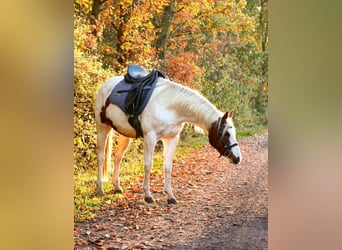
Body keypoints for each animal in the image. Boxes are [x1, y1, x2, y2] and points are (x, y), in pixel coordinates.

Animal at [95, 75, 242, 203]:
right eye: (227, 134)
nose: (238, 158)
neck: (170, 106)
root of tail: (106, 84)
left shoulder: (171, 139)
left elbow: (168, 167)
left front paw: (170, 196)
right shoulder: (150, 138)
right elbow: (148, 166)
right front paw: (148, 195)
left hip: (124, 134)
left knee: (117, 156)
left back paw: (117, 187)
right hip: (102, 128)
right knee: (101, 157)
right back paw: (100, 188)